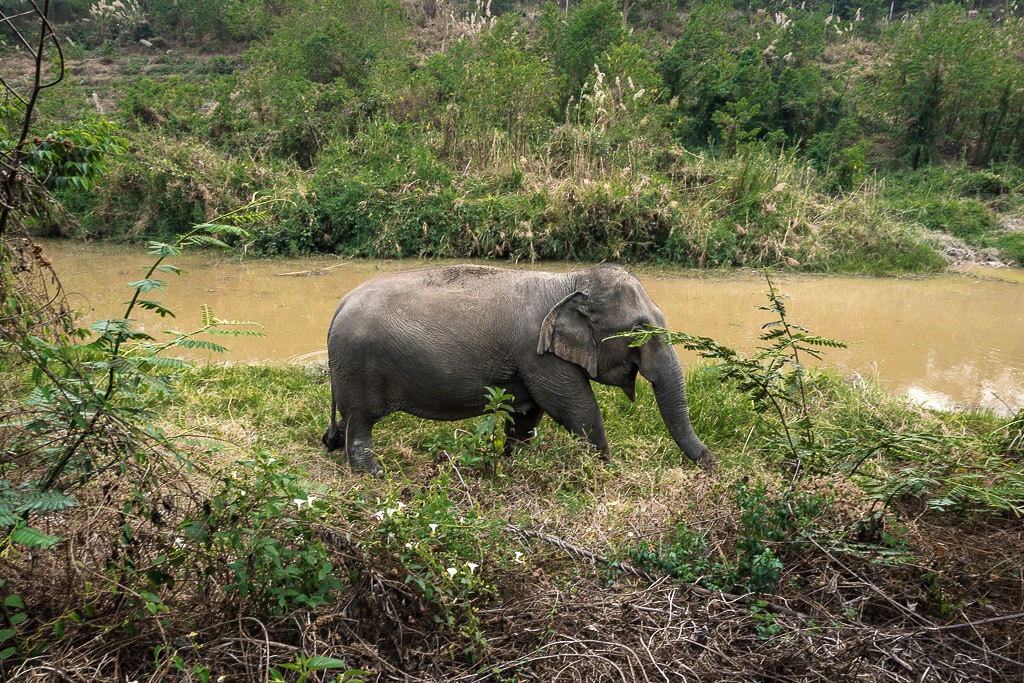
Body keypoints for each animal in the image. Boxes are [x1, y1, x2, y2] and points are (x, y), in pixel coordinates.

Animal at [323, 264, 716, 475]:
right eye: (638, 331)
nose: (712, 463)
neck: (569, 282)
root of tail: (340, 304)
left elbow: (527, 414)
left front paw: (513, 461)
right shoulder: (540, 356)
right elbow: (577, 408)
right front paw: (605, 469)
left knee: (349, 418)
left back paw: (334, 445)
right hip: (357, 365)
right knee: (361, 419)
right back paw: (372, 471)